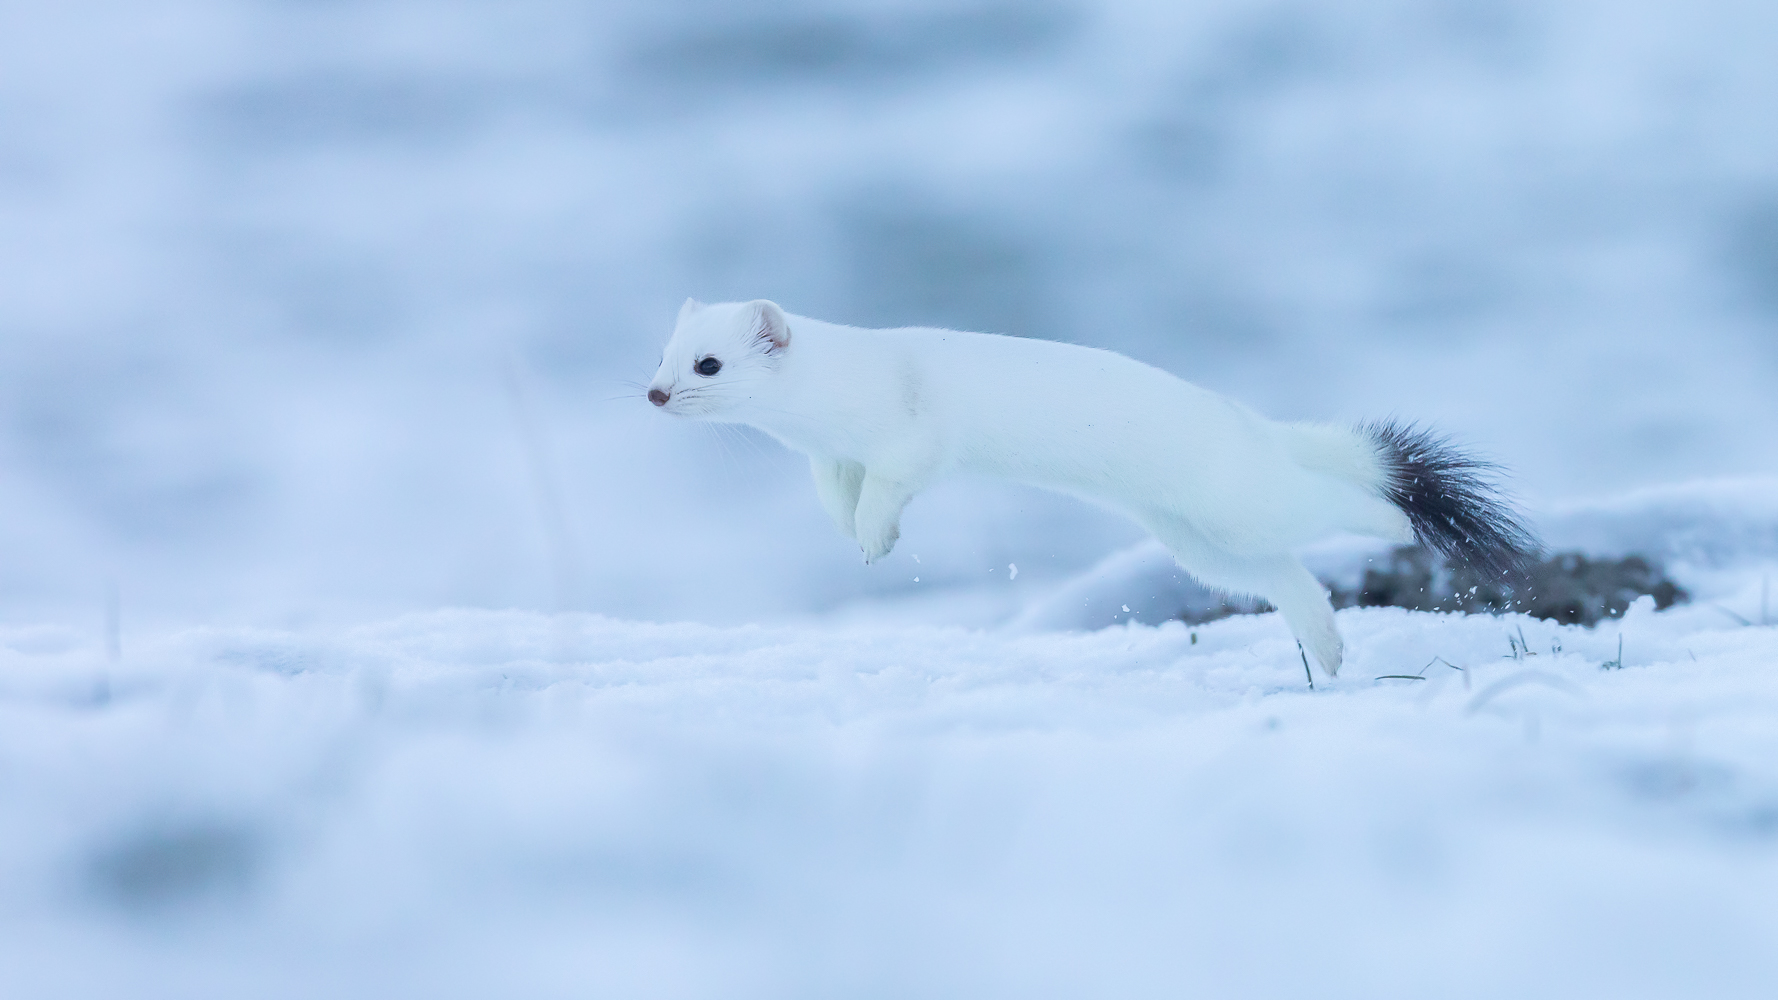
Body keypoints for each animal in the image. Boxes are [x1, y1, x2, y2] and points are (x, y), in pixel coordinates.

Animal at [647, 295, 1536, 669]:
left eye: (707, 363)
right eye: (661, 352)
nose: (653, 394)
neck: (833, 415)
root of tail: (1248, 419)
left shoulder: (912, 439)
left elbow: (896, 481)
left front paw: (875, 535)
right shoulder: (833, 455)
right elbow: (836, 493)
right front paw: (852, 531)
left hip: (1240, 497)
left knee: (1331, 502)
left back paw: (1392, 527)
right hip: (1194, 537)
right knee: (1285, 575)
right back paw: (1329, 648)